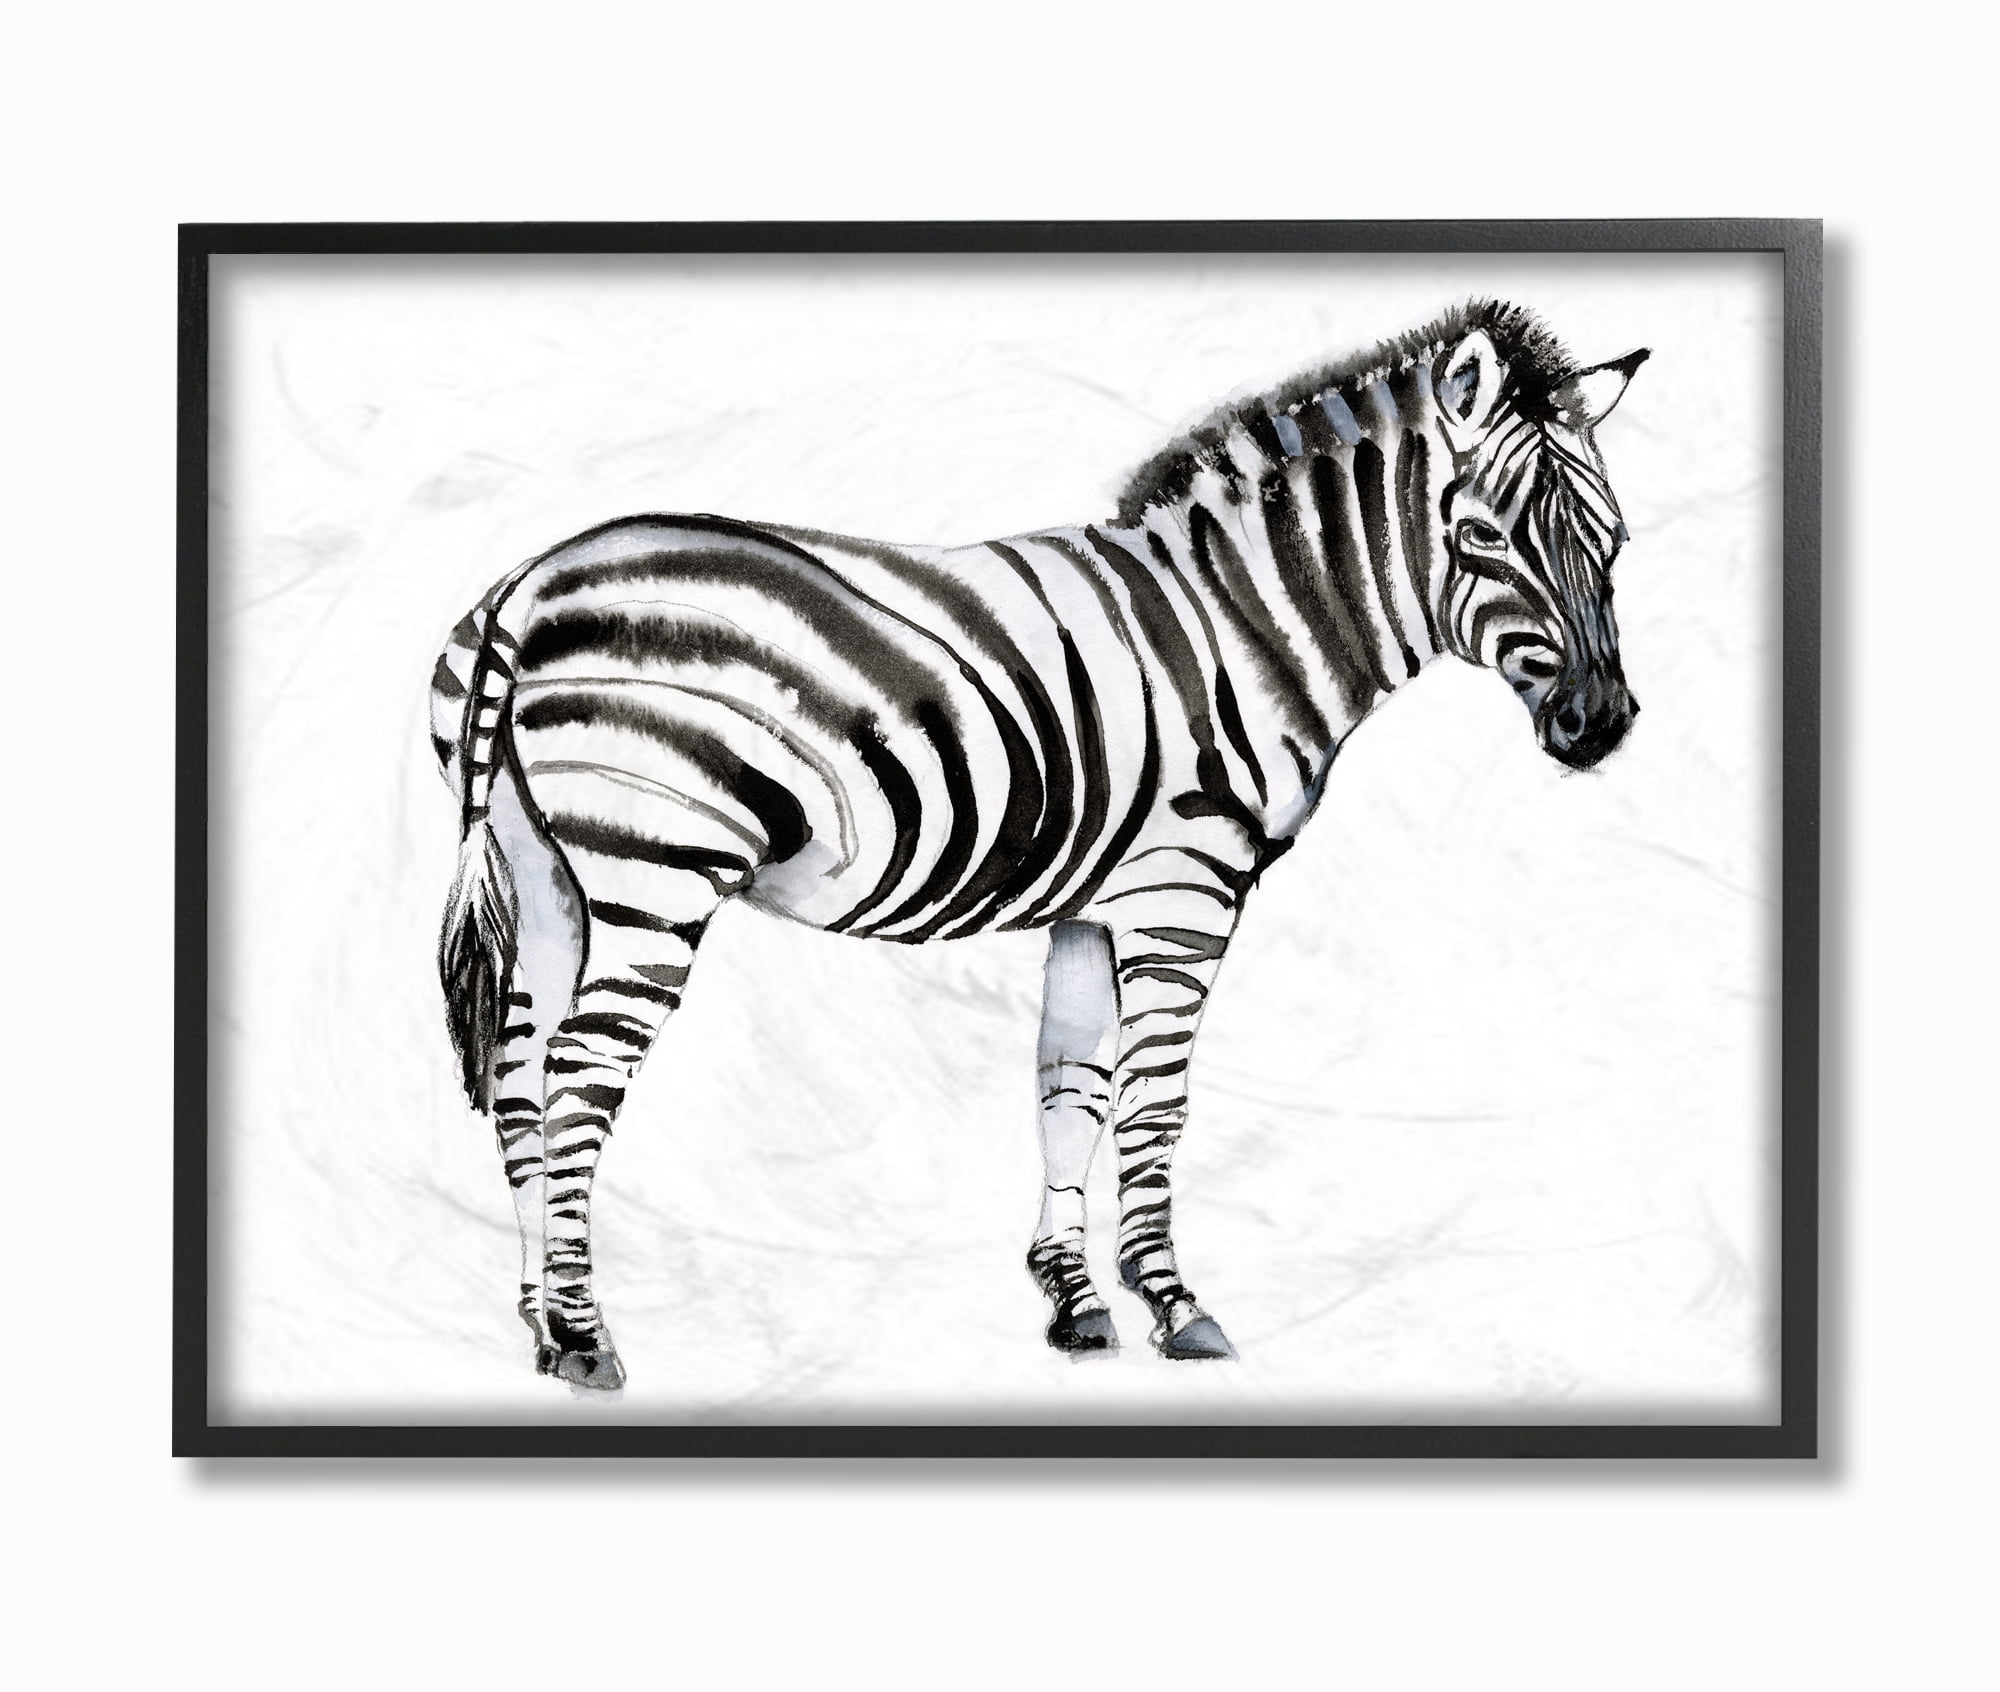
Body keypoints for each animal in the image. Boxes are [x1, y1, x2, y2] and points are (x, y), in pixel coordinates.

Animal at [430, 299, 1648, 1388]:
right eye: (1479, 537)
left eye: (1614, 542)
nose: (1599, 723)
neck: (1247, 626)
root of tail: (528, 585)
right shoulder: (1185, 890)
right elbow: (1156, 1095)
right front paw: (1175, 1305)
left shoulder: (1096, 905)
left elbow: (1071, 1084)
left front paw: (1074, 1300)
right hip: (655, 870)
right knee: (580, 1074)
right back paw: (587, 1338)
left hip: (547, 873)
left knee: (523, 1072)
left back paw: (540, 1322)